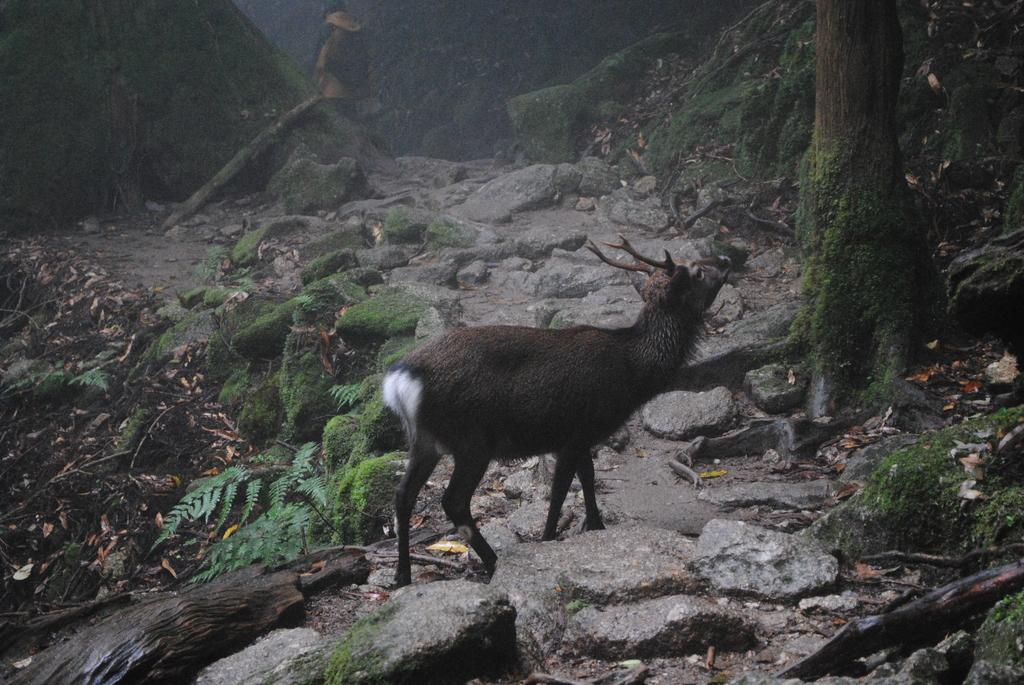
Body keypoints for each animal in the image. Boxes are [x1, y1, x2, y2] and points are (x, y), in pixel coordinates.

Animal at [382, 233, 729, 581]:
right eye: (697, 272)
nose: (725, 260)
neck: (632, 375)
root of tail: (400, 382)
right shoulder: (575, 430)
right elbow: (560, 490)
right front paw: (549, 538)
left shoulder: (584, 436)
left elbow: (587, 478)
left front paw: (596, 526)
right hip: (471, 440)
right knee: (453, 501)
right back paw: (493, 561)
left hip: (424, 440)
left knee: (402, 495)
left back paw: (403, 576)